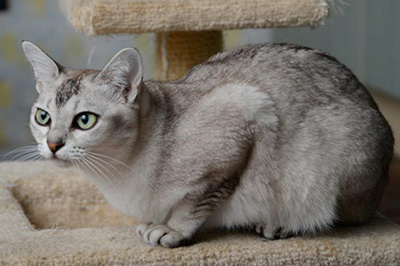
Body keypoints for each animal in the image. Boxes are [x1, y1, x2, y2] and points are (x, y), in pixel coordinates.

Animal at [21, 41, 394, 247]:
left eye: (85, 120)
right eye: (43, 117)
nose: (52, 145)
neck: (117, 175)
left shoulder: (245, 116)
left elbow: (193, 205)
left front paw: (171, 230)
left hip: (335, 171)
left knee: (339, 217)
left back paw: (281, 224)